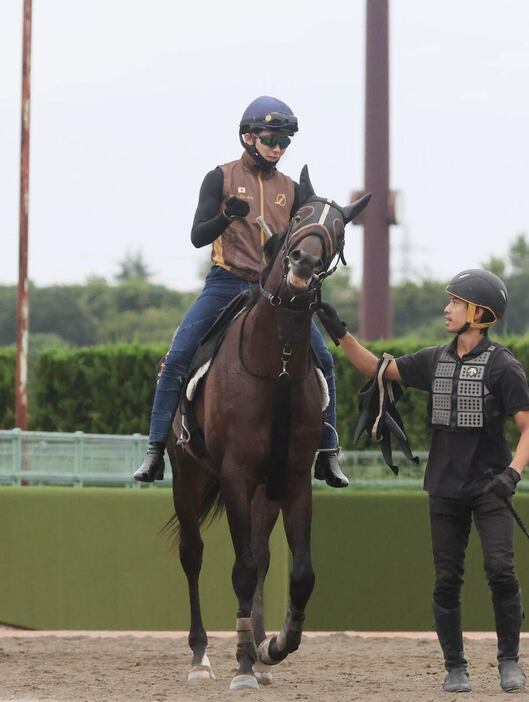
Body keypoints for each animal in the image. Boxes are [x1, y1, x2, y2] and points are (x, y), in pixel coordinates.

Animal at [167, 168, 370, 696]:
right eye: (299, 216)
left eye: (339, 229)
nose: (304, 261)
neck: (274, 365)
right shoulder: (235, 475)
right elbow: (238, 571)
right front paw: (240, 666)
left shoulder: (293, 479)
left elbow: (298, 574)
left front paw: (272, 646)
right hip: (188, 476)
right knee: (193, 555)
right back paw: (201, 657)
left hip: (266, 491)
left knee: (260, 557)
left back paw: (257, 651)